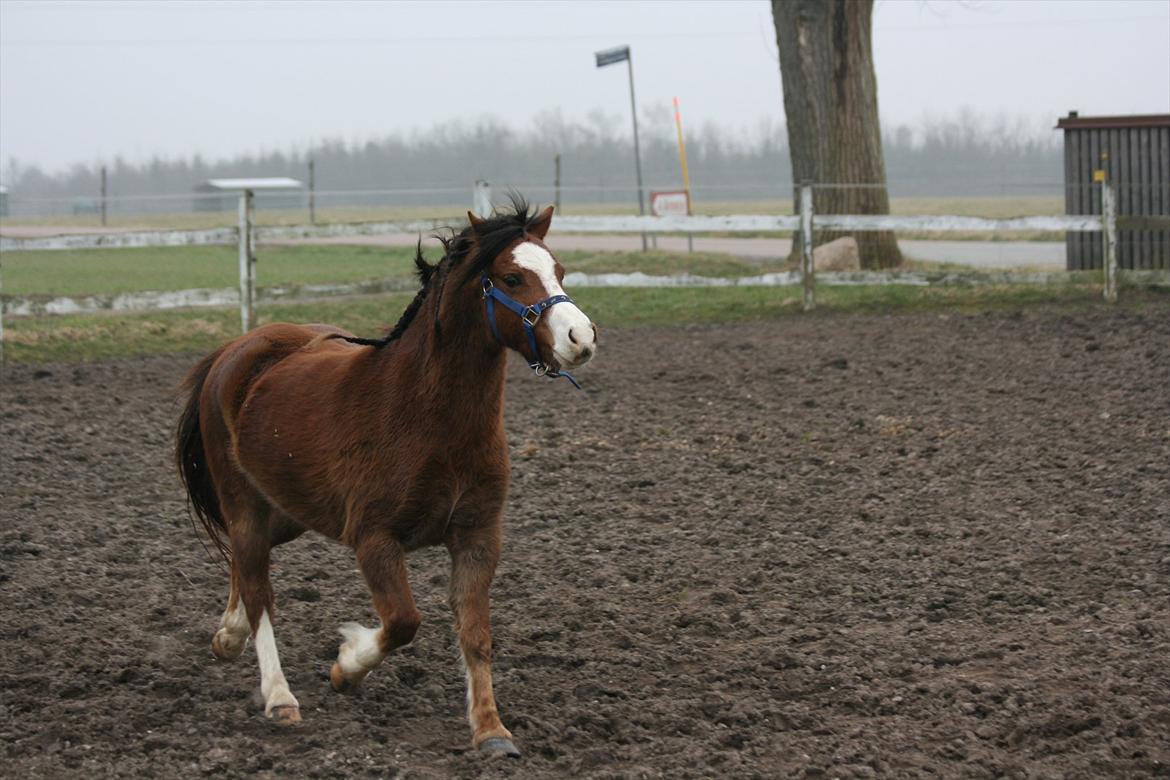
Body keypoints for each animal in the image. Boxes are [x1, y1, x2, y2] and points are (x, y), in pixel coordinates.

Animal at [175, 199, 594, 757]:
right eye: (511, 276)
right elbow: (402, 622)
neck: (427, 417)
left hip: (286, 511)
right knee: (260, 588)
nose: (581, 338)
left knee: (243, 568)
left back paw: (228, 636)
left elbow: (475, 633)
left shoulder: (479, 536)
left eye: (559, 271)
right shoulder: (374, 538)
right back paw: (279, 696)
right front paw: (346, 667)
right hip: (244, 504)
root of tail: (237, 349)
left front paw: (490, 730)